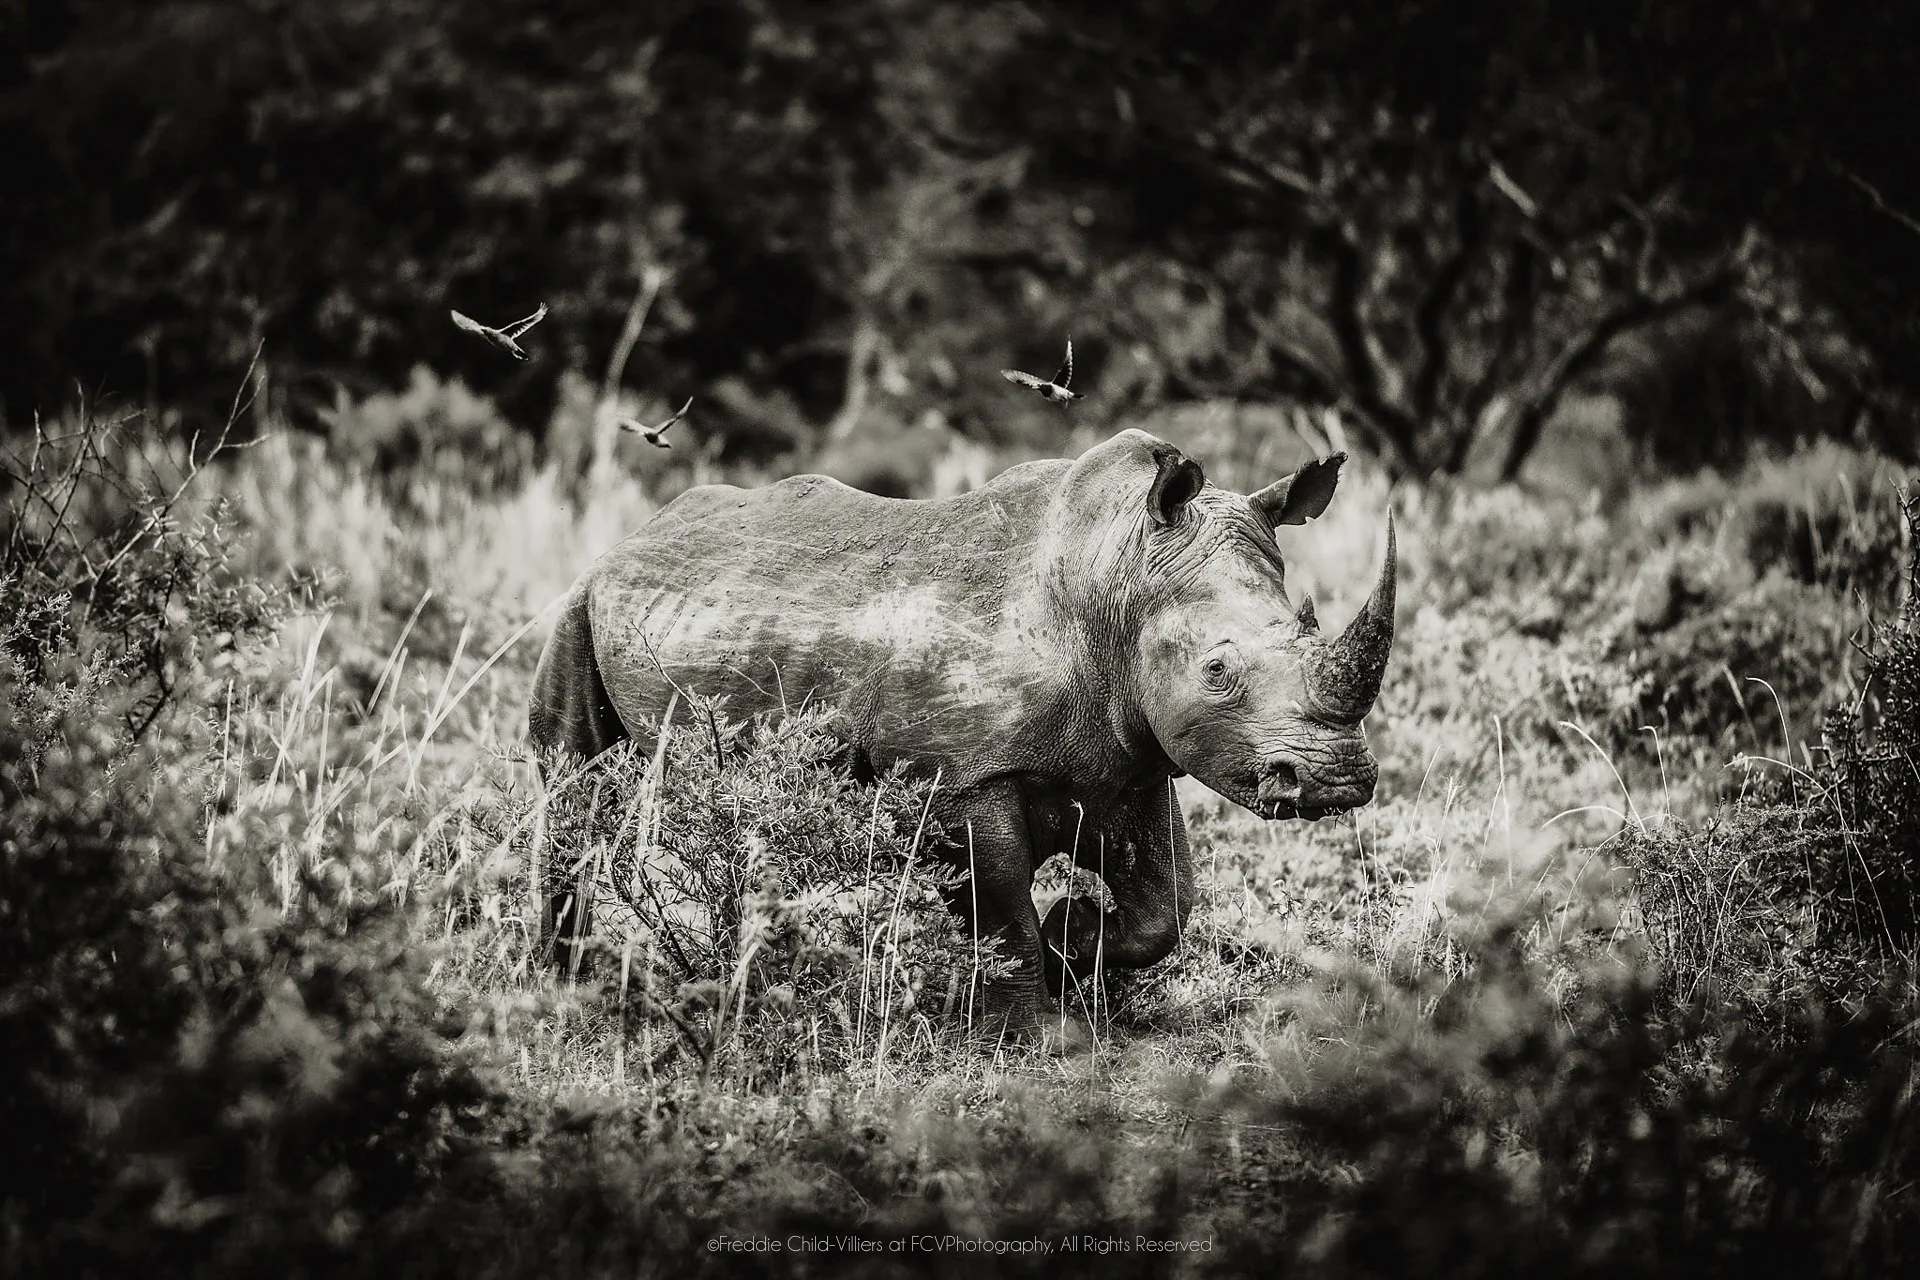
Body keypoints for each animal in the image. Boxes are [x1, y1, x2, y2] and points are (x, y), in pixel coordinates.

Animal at [527, 428, 1395, 1036]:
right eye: (1217, 671)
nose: (1338, 780)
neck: (1120, 575)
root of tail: (639, 534)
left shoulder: (1128, 760)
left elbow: (1166, 901)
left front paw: (1071, 941)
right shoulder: (964, 775)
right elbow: (999, 898)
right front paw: (1040, 1032)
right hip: (580, 600)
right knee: (573, 781)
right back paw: (575, 986)